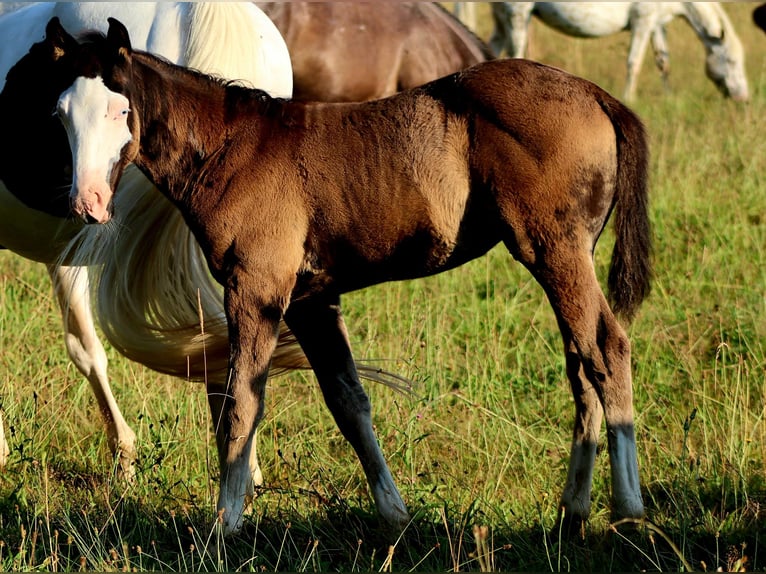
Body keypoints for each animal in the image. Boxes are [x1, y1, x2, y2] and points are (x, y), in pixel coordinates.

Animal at [43, 16, 653, 535]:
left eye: (119, 111)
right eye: (61, 115)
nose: (86, 203)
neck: (231, 150)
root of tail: (597, 95)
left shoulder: (256, 290)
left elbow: (242, 402)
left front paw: (227, 521)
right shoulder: (312, 301)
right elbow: (349, 403)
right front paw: (395, 514)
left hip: (554, 252)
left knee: (607, 350)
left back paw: (628, 511)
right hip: (567, 259)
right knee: (580, 364)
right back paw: (572, 513)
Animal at [489, 2, 749, 102]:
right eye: (731, 61)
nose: (743, 99)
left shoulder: (657, 24)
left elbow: (663, 62)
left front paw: (669, 97)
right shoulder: (643, 21)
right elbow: (634, 63)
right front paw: (629, 98)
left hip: (502, 18)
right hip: (518, 15)